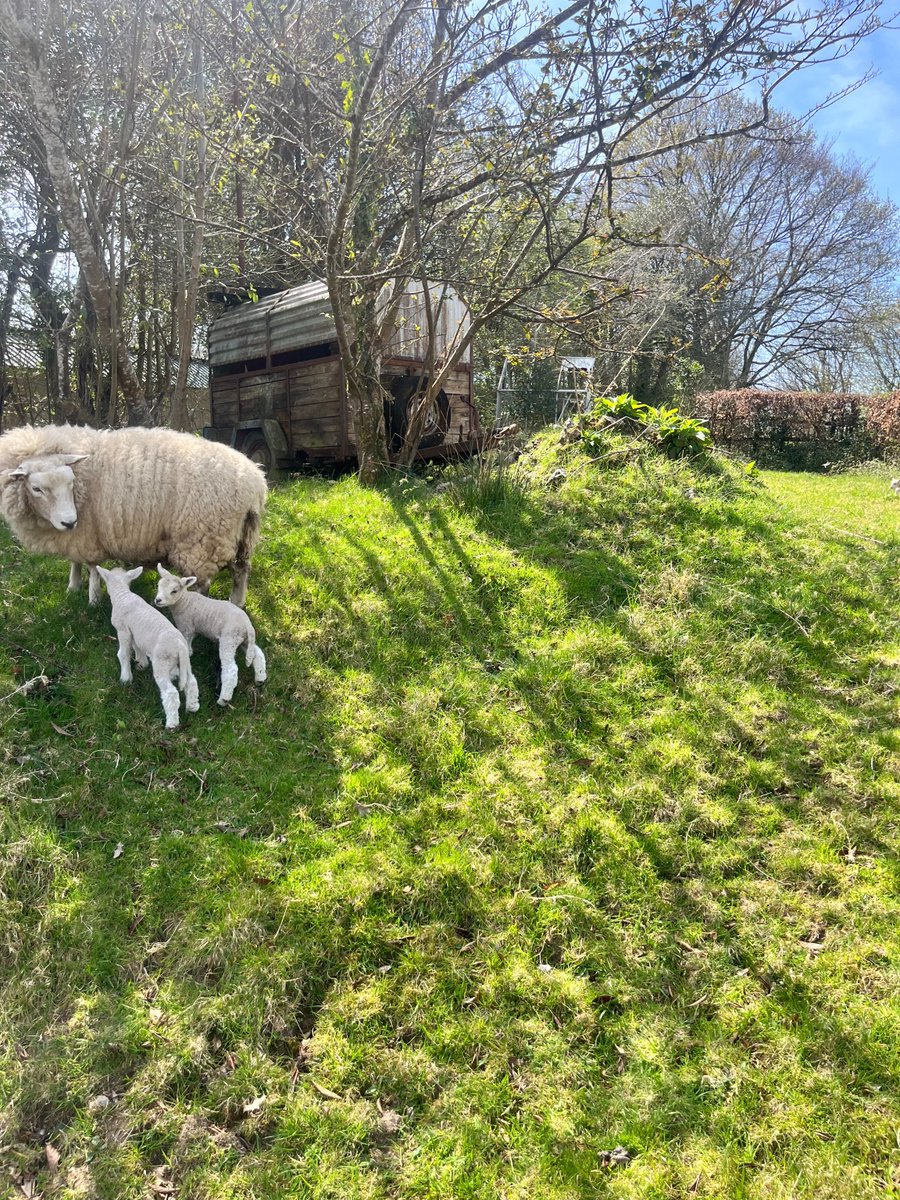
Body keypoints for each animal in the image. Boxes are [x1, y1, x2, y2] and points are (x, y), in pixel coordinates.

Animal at [0, 424, 267, 607]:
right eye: (36, 488)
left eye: (71, 481)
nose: (69, 521)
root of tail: (255, 482)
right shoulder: (76, 536)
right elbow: (75, 562)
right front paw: (73, 587)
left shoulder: (89, 535)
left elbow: (92, 568)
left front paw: (93, 599)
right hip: (241, 536)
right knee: (241, 570)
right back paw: (237, 603)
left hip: (202, 541)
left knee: (203, 584)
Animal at [97, 566, 200, 729]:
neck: (123, 595)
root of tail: (180, 647)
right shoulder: (135, 632)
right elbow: (138, 646)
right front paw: (142, 663)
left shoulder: (123, 630)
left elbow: (123, 653)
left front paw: (125, 678)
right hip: (185, 663)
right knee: (191, 682)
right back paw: (192, 706)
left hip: (162, 663)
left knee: (171, 693)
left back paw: (172, 723)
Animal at [154, 564, 267, 706]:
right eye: (158, 586)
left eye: (174, 591)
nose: (158, 600)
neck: (184, 601)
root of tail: (248, 625)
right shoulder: (193, 628)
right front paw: (190, 651)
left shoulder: (186, 626)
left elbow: (186, 641)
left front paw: (188, 653)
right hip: (243, 640)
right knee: (258, 654)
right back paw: (260, 678)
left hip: (229, 639)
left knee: (230, 670)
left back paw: (223, 699)